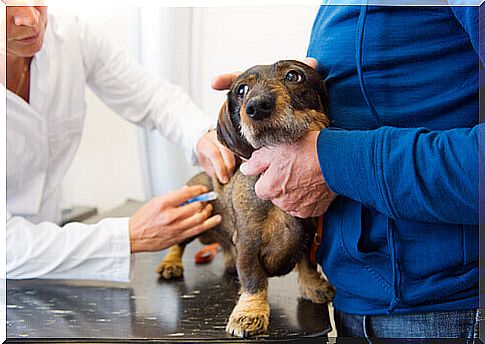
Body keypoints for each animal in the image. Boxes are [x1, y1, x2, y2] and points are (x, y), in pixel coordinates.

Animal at [157, 60, 334, 338]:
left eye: (294, 76)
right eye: (242, 90)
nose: (257, 107)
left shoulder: (308, 238)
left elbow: (307, 266)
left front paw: (313, 287)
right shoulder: (248, 245)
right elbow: (253, 280)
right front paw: (249, 313)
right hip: (194, 212)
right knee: (179, 243)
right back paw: (171, 263)